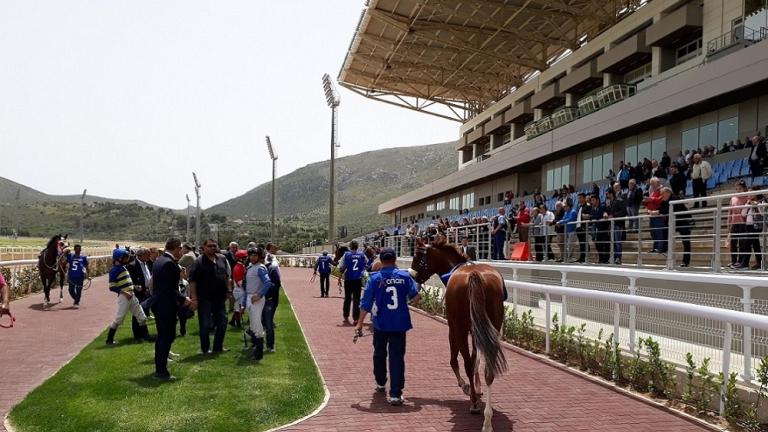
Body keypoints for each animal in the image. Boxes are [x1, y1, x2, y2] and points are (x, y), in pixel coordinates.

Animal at [412, 238, 508, 430]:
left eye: (417, 256)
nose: (413, 276)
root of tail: (475, 275)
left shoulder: (453, 327)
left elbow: (455, 360)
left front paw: (465, 386)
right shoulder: (477, 330)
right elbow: (476, 357)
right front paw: (477, 388)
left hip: (460, 328)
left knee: (467, 364)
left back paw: (474, 404)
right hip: (492, 325)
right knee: (488, 368)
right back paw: (487, 419)